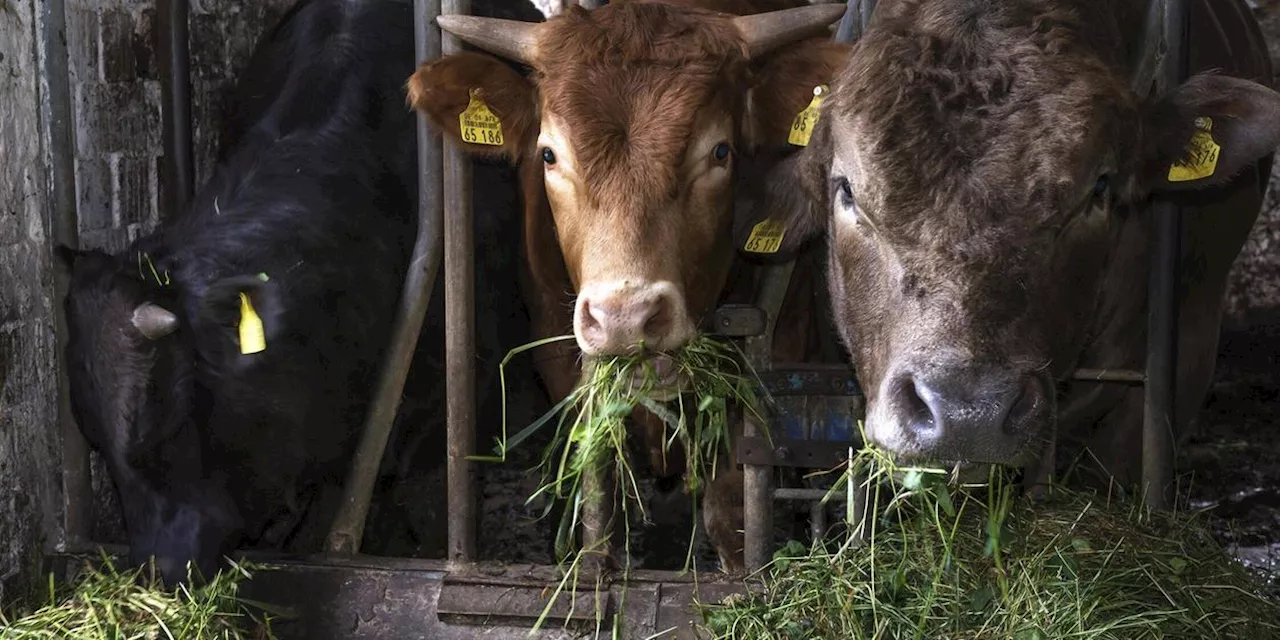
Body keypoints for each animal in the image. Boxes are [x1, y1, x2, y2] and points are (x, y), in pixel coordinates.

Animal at [407, 0, 849, 570]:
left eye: (721, 151)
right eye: (548, 155)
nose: (626, 318)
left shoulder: (779, 341)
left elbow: (731, 501)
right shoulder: (559, 352)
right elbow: (601, 485)